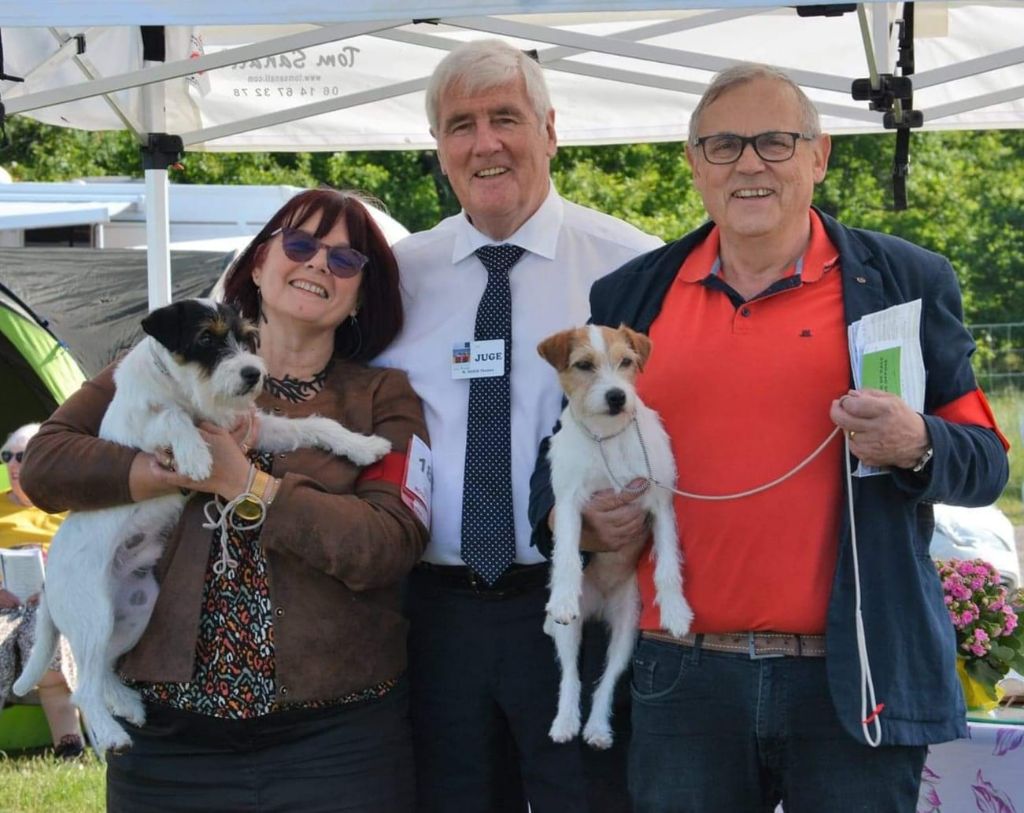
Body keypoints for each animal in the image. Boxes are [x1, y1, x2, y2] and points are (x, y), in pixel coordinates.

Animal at [16, 296, 391, 749]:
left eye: (247, 338)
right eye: (206, 339)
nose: (252, 373)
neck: (185, 389)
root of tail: (46, 586)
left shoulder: (253, 428)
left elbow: (315, 424)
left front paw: (363, 445)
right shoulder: (146, 430)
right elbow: (172, 418)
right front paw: (195, 456)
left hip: (132, 613)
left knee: (102, 672)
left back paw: (128, 705)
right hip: (92, 615)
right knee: (83, 689)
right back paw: (112, 735)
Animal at [540, 321, 692, 749]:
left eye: (626, 362)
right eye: (583, 365)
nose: (616, 396)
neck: (607, 438)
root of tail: (598, 606)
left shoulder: (659, 502)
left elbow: (668, 565)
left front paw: (676, 612)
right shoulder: (570, 505)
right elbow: (567, 556)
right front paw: (562, 594)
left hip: (627, 627)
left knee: (606, 681)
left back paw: (596, 728)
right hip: (569, 632)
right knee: (571, 675)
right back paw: (566, 722)